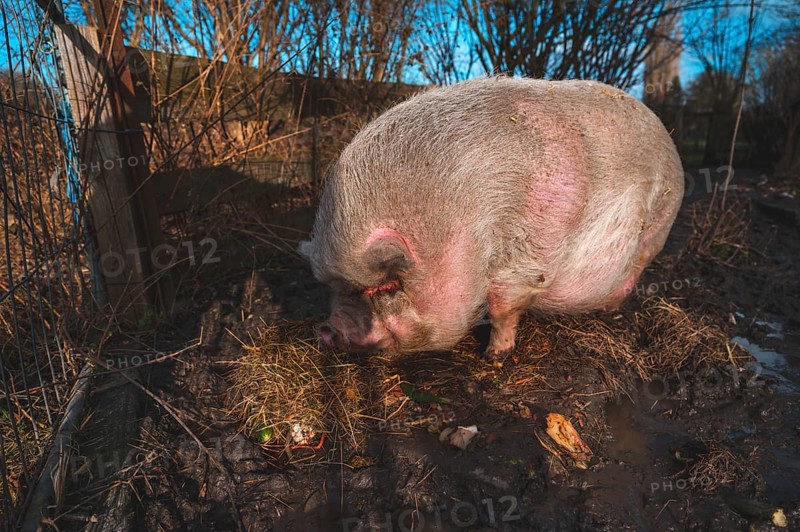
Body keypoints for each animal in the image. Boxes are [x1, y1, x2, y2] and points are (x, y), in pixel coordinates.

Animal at [299, 76, 684, 356]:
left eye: (388, 286)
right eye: (332, 287)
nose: (328, 329)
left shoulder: (526, 258)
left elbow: (504, 308)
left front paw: (493, 356)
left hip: (656, 228)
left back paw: (610, 309)